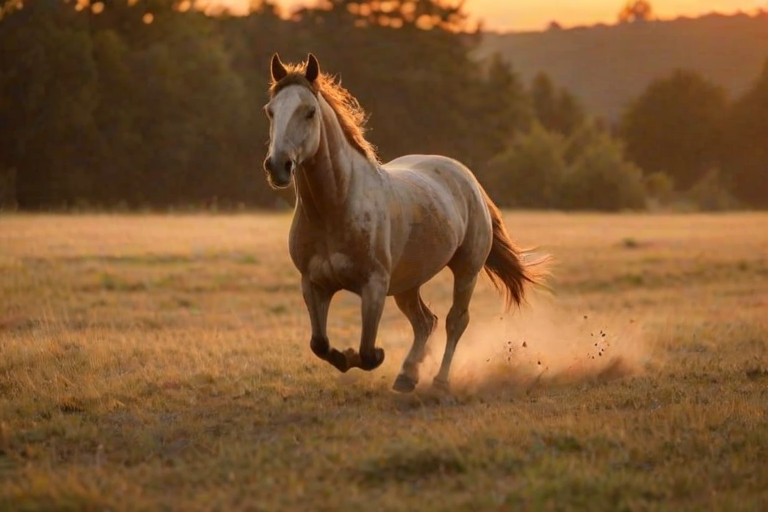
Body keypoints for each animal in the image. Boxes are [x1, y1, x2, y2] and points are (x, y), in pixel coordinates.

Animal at [262, 53, 549, 393]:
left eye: (309, 112)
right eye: (270, 111)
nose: (278, 166)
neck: (335, 208)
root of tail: (468, 179)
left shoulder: (374, 285)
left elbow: (369, 353)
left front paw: (362, 355)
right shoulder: (313, 283)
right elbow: (319, 344)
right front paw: (346, 357)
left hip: (466, 270)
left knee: (455, 321)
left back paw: (439, 381)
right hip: (408, 283)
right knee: (426, 322)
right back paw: (408, 375)